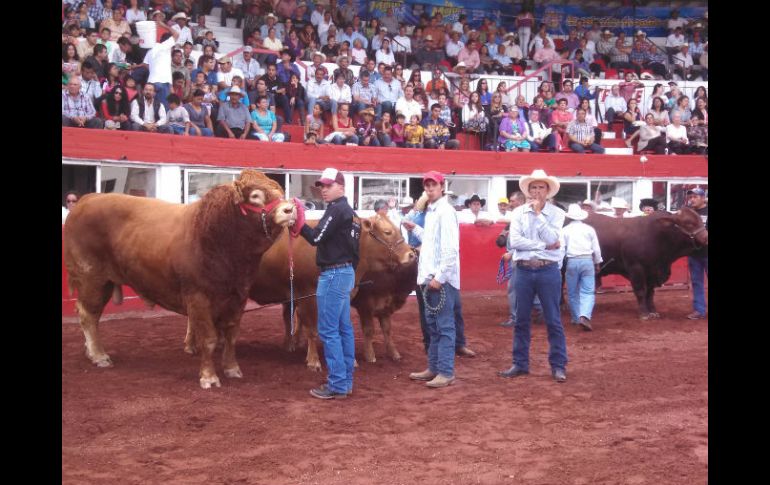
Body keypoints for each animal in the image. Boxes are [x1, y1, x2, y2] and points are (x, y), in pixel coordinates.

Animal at [63, 168, 296, 388]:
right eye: (255, 195)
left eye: (280, 191)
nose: (289, 209)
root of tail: (87, 200)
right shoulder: (198, 296)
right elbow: (208, 338)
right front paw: (209, 377)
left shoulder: (238, 296)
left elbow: (231, 334)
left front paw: (232, 369)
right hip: (92, 278)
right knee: (88, 315)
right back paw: (99, 355)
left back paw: (91, 351)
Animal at [246, 214, 414, 368]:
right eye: (387, 232)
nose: (411, 254)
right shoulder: (307, 297)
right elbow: (312, 329)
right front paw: (313, 360)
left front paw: (350, 360)